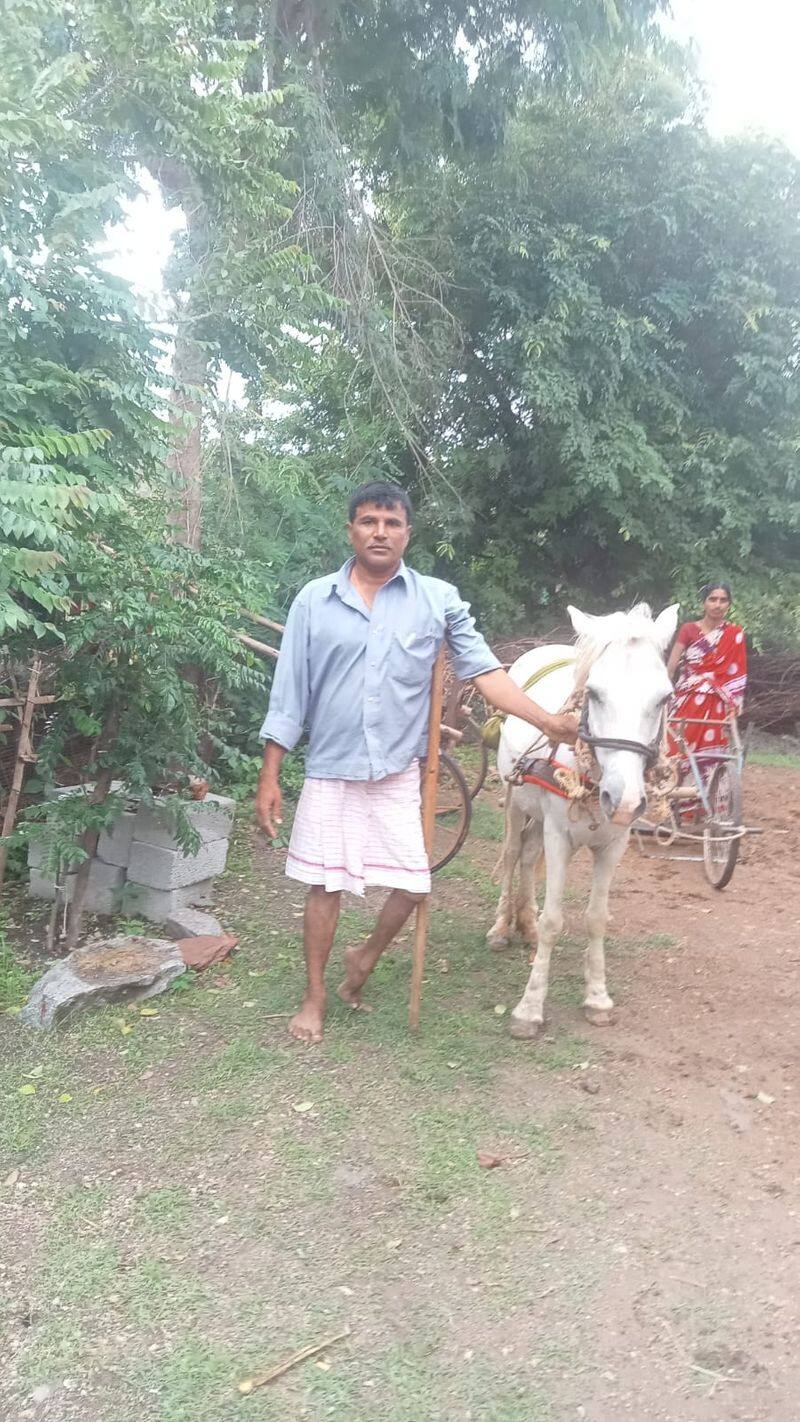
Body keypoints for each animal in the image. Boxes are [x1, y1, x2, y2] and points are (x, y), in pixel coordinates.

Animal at [485, 600, 679, 1035]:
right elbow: (555, 921)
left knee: (528, 858)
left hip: (539, 816)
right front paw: (529, 1008)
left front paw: (598, 998)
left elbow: (596, 919)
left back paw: (525, 922)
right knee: (512, 856)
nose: (623, 800)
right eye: (594, 694)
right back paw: (503, 927)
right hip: (517, 802)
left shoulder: (614, 845)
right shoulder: (560, 837)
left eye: (663, 698)